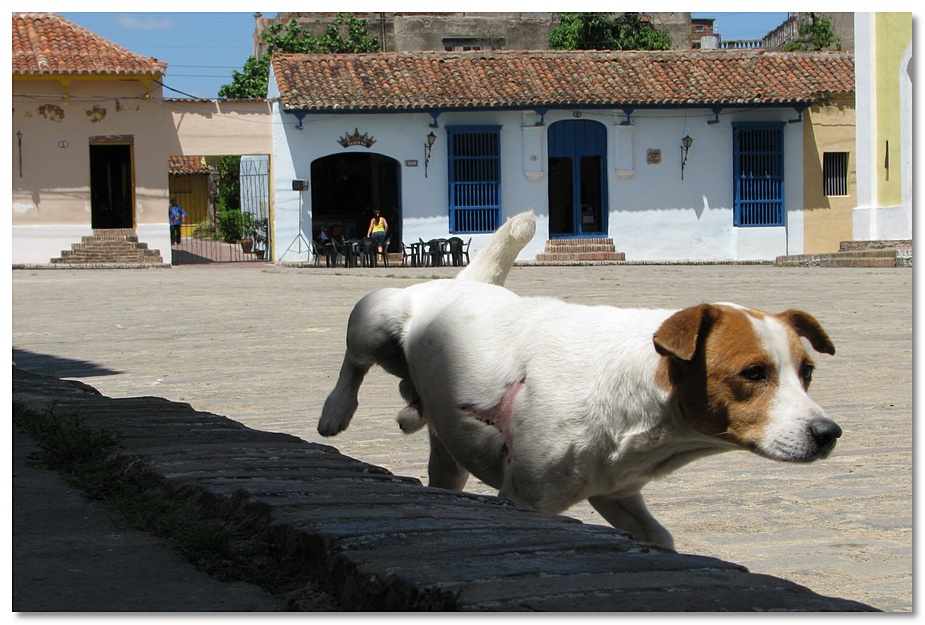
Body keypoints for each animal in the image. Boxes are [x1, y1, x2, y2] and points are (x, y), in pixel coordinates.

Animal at [322, 212, 840, 548]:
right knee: (354, 360)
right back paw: (336, 411)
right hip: (375, 319)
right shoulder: (524, 499)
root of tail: (466, 282)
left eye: (807, 372)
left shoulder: (615, 491)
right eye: (753, 373)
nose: (829, 432)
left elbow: (657, 535)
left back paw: (410, 416)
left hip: (449, 450)